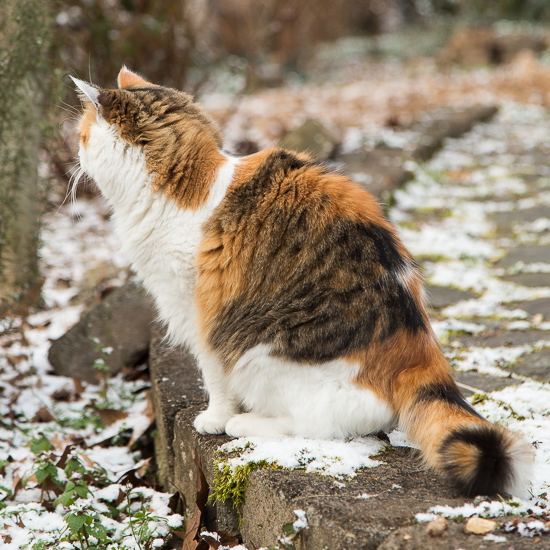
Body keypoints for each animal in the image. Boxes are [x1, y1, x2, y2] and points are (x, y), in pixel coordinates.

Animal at [71, 67, 532, 498]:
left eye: (83, 135)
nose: (74, 154)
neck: (186, 189)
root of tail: (420, 350)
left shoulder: (200, 314)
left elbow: (214, 376)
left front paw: (215, 418)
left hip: (261, 353)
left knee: (322, 423)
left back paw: (245, 422)